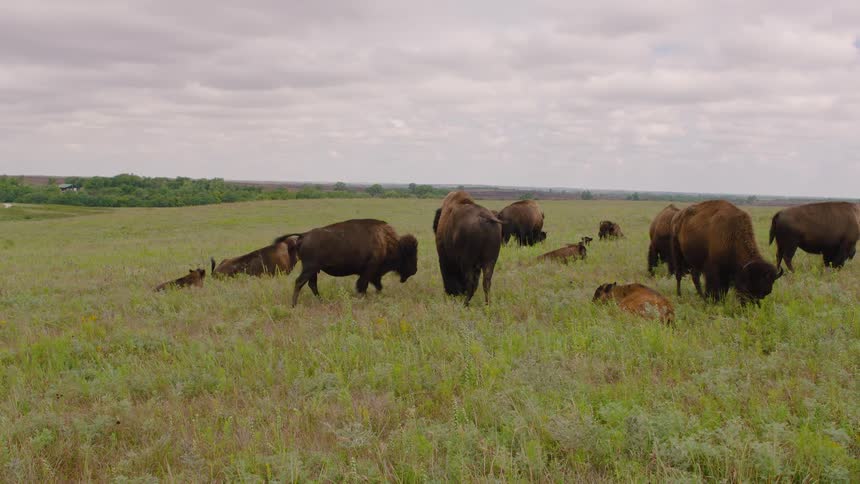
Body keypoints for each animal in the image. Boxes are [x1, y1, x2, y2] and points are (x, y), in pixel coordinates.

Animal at [277, 219, 418, 306]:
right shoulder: (369, 271)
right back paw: (294, 305)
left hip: (313, 270)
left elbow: (376, 285)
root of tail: (304, 235)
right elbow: (362, 285)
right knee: (300, 282)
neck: (388, 242)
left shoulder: (373, 274)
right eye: (409, 254)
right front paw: (362, 298)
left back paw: (321, 300)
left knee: (311, 284)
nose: (414, 270)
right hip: (310, 268)